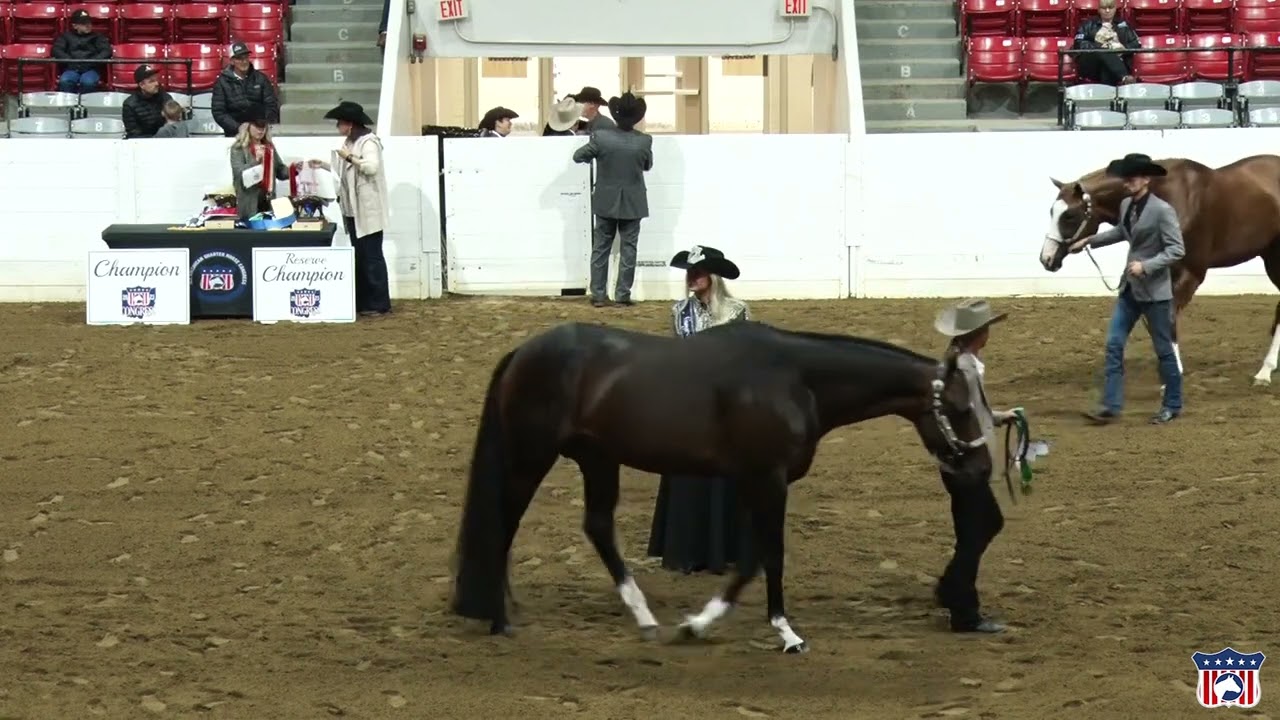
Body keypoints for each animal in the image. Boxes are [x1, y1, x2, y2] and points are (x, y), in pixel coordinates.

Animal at [449, 319, 1003, 654]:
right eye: (959, 407)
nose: (979, 469)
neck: (795, 379)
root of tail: (523, 351)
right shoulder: (767, 478)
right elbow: (769, 555)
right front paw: (781, 632)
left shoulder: (753, 481)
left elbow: (752, 555)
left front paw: (703, 622)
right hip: (533, 458)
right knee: (504, 524)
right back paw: (499, 618)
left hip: (598, 460)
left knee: (598, 527)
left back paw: (641, 616)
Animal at [1038, 154, 1280, 386]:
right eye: (1051, 211)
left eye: (1069, 215)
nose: (1046, 258)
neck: (1172, 197)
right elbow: (1152, 323)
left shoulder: (1191, 274)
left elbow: (1167, 320)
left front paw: (1174, 375)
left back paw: (1264, 373)